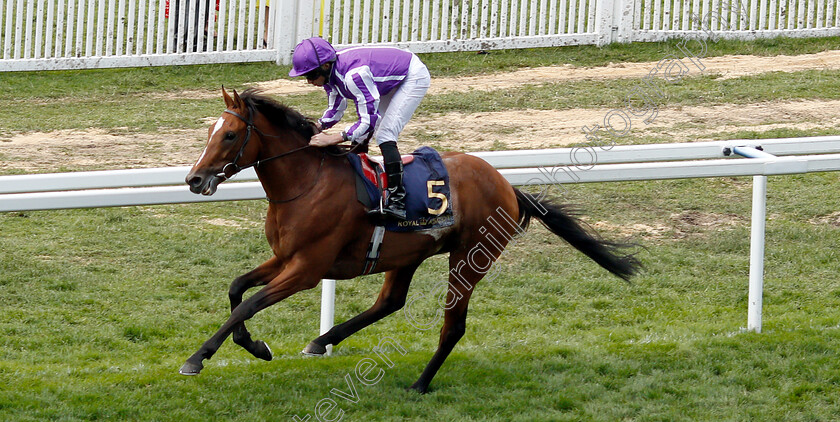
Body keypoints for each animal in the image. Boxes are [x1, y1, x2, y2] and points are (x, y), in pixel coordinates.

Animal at [184, 87, 640, 394]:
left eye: (229, 135)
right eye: (209, 130)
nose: (194, 179)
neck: (307, 183)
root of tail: (507, 186)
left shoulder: (307, 269)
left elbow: (249, 302)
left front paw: (198, 358)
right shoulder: (284, 259)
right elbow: (237, 289)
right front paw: (253, 345)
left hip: (471, 256)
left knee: (452, 325)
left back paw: (421, 383)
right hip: (409, 254)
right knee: (390, 301)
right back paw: (322, 341)